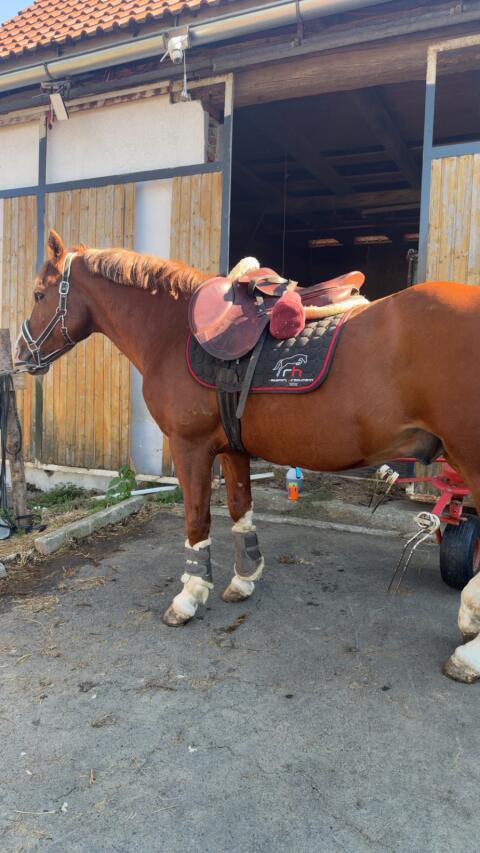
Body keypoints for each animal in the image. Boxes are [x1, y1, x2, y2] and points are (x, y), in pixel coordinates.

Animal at [15, 229, 480, 684]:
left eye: (39, 294)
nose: (20, 354)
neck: (171, 332)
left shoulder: (190, 446)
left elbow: (197, 519)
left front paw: (189, 596)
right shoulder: (232, 449)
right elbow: (241, 508)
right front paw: (244, 578)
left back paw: (468, 653)